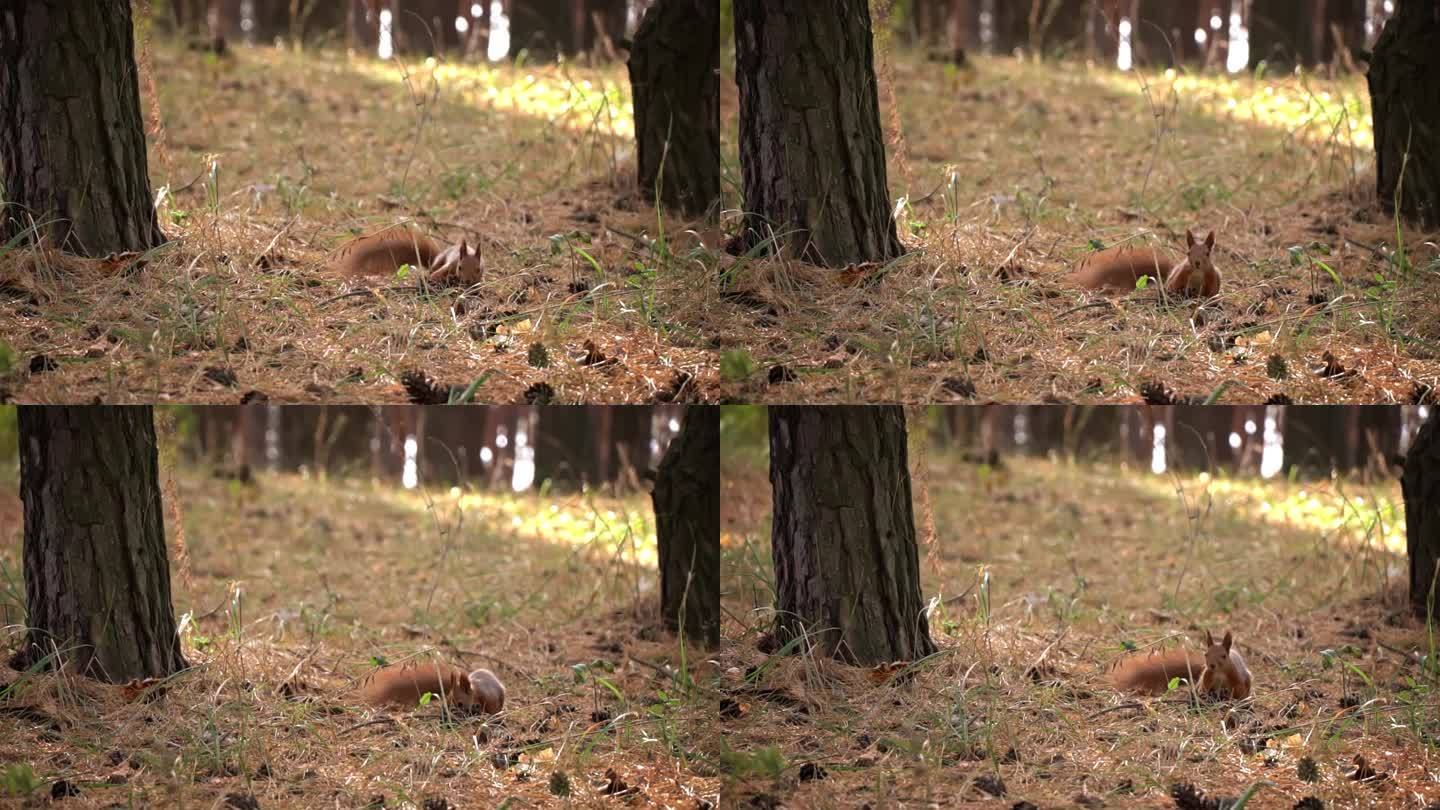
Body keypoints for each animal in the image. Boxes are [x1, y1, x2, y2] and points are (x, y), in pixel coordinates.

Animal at [329, 224, 483, 285]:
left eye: (478, 269)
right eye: (460, 268)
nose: (467, 281)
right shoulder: (451, 264)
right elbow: (437, 274)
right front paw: (433, 279)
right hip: (439, 260)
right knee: (434, 268)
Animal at [1077, 227, 1221, 296]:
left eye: (1208, 254)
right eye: (1188, 253)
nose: (1197, 263)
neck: (1197, 272)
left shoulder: (1211, 277)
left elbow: (1211, 293)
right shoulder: (1181, 274)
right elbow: (1173, 286)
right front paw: (1181, 291)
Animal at [1105, 628, 1255, 697]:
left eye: (1224, 656)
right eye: (1205, 654)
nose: (1211, 665)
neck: (1219, 672)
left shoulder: (1235, 676)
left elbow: (1239, 689)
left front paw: (1236, 698)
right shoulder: (1207, 676)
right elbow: (1204, 687)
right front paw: (1202, 693)